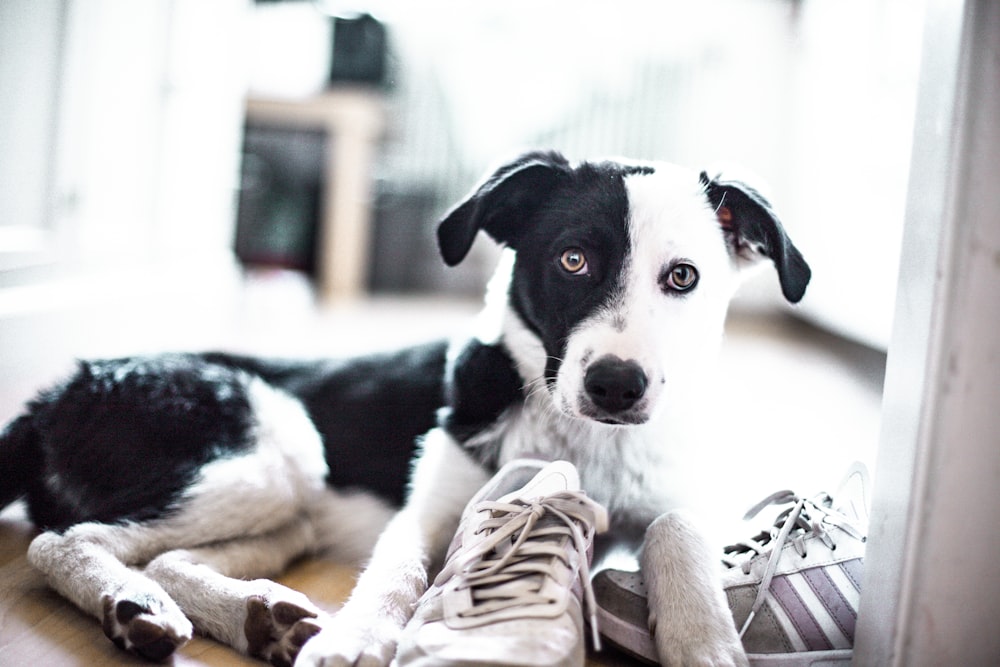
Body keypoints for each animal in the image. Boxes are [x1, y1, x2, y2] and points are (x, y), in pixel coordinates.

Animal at [0, 153, 804, 667]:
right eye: (572, 260)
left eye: (683, 277)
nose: (616, 385)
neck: (580, 439)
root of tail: (57, 393)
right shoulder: (429, 509)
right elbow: (398, 569)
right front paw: (356, 639)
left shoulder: (674, 495)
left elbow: (677, 528)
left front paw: (705, 642)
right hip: (269, 450)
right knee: (63, 539)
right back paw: (131, 604)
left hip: (283, 507)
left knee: (167, 555)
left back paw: (258, 618)